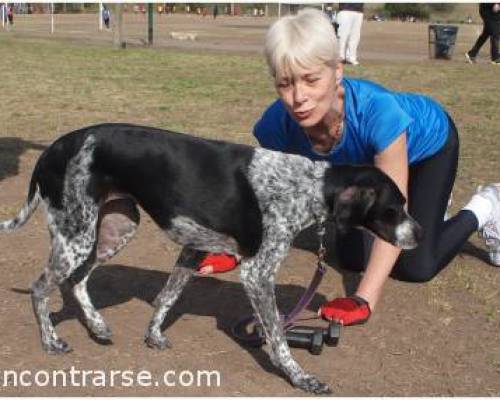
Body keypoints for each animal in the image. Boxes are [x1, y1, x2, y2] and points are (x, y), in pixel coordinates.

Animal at [0, 124, 422, 394]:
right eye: (394, 208)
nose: (419, 234)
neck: (308, 186)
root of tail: (53, 149)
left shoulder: (194, 247)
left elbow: (166, 298)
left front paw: (153, 335)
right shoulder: (256, 274)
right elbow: (278, 337)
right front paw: (299, 377)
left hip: (113, 230)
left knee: (77, 280)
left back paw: (98, 326)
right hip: (77, 236)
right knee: (40, 288)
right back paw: (51, 341)